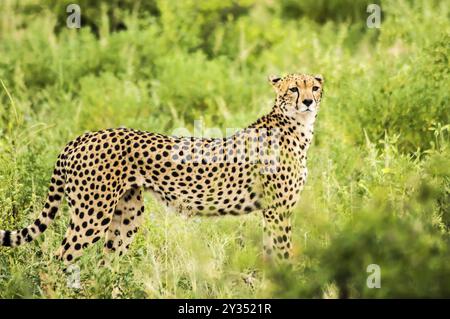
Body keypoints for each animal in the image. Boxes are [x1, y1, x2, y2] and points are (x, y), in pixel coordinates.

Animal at [0, 73, 324, 264]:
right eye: (294, 88)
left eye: (315, 87)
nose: (308, 101)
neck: (297, 126)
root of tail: (85, 135)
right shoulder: (278, 209)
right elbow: (283, 252)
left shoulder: (272, 210)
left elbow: (271, 253)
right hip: (92, 214)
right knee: (61, 258)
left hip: (127, 215)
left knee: (107, 263)